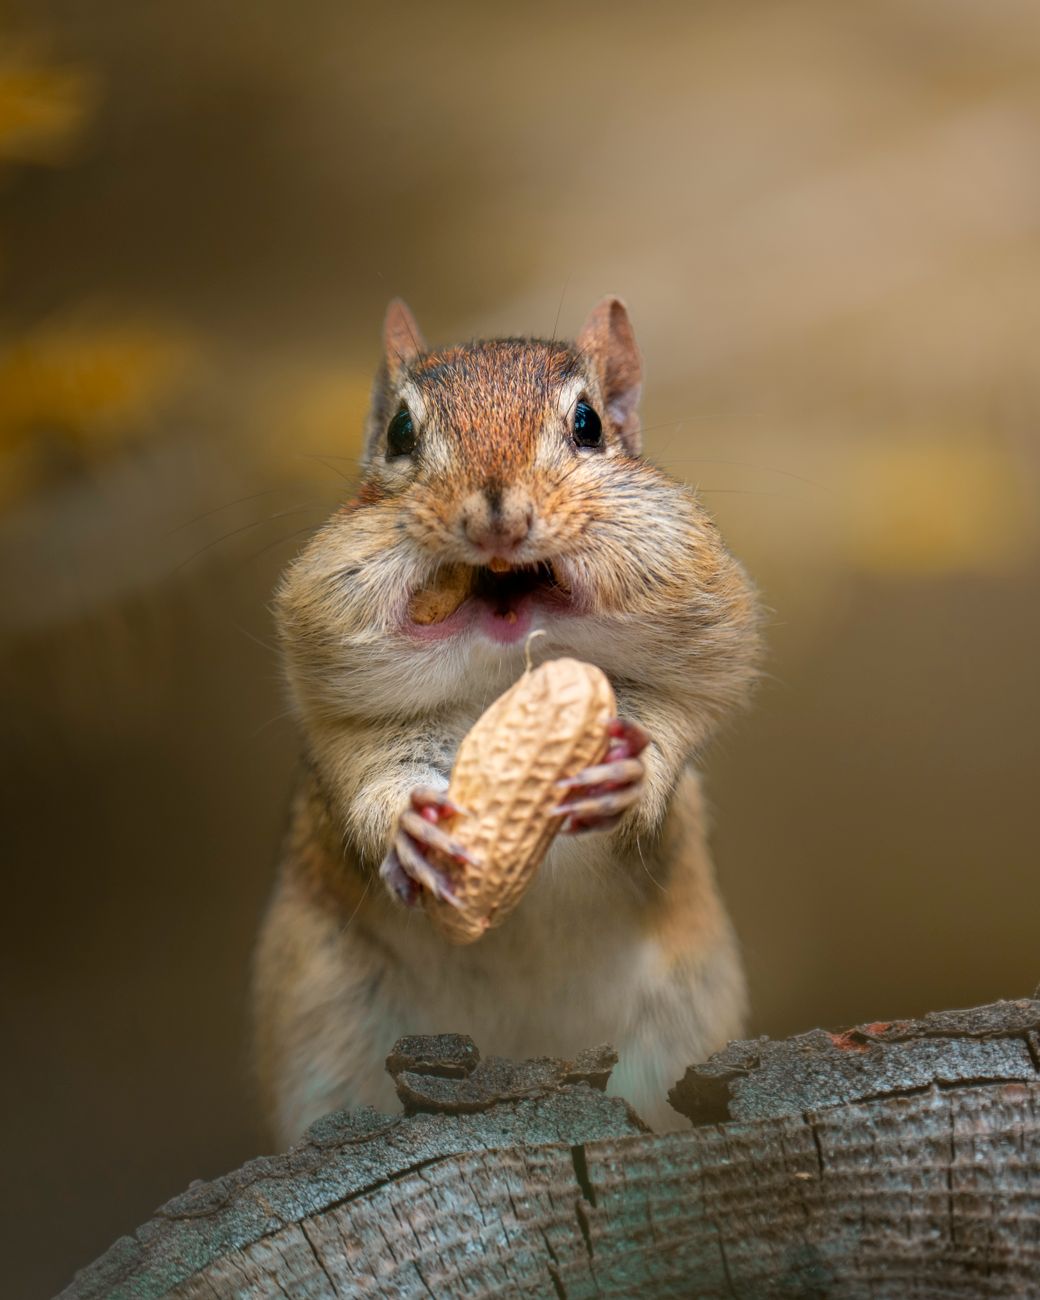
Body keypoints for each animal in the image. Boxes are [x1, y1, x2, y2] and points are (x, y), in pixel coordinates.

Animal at [252, 296, 761, 1143]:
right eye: (399, 432)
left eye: (589, 423)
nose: (496, 519)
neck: (504, 685)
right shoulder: (342, 723)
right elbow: (369, 785)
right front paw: (409, 833)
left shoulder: (695, 676)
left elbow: (674, 729)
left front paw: (627, 776)